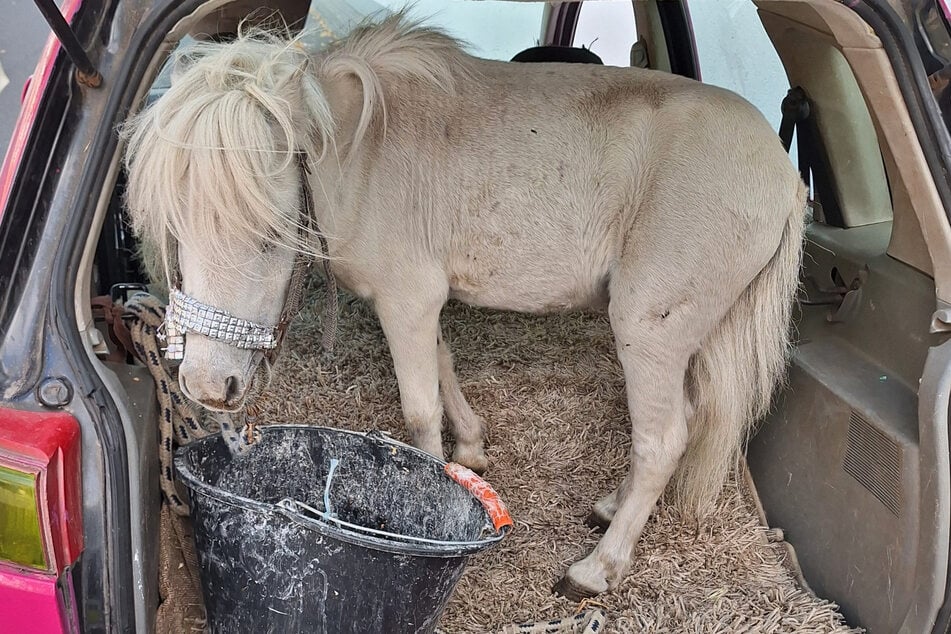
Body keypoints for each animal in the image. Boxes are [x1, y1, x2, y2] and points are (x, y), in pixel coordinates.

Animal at [122, 13, 806, 598]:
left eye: (270, 234)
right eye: (174, 230)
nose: (208, 386)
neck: (363, 153)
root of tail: (785, 176)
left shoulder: (407, 299)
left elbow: (420, 412)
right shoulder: (419, 301)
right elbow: (444, 365)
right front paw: (471, 450)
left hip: (650, 330)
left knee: (661, 440)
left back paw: (597, 568)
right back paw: (612, 506)